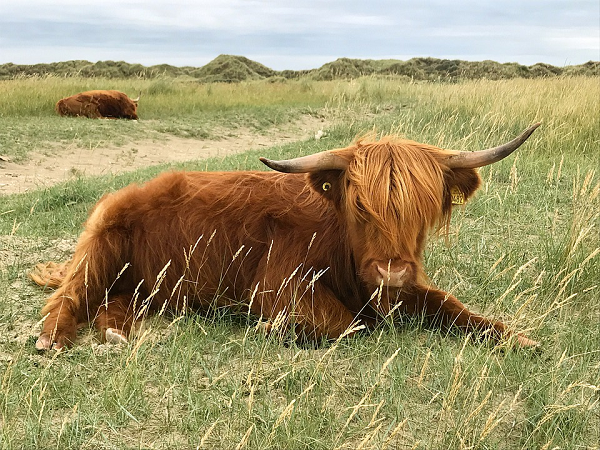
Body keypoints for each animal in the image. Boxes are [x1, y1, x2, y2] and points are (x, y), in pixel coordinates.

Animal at [31, 124, 544, 352]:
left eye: (423, 209)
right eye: (360, 207)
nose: (391, 270)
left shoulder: (403, 289)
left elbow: (454, 308)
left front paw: (516, 337)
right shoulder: (279, 286)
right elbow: (346, 324)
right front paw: (272, 328)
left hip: (143, 285)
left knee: (111, 303)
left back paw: (116, 331)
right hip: (99, 246)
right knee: (70, 296)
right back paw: (52, 338)